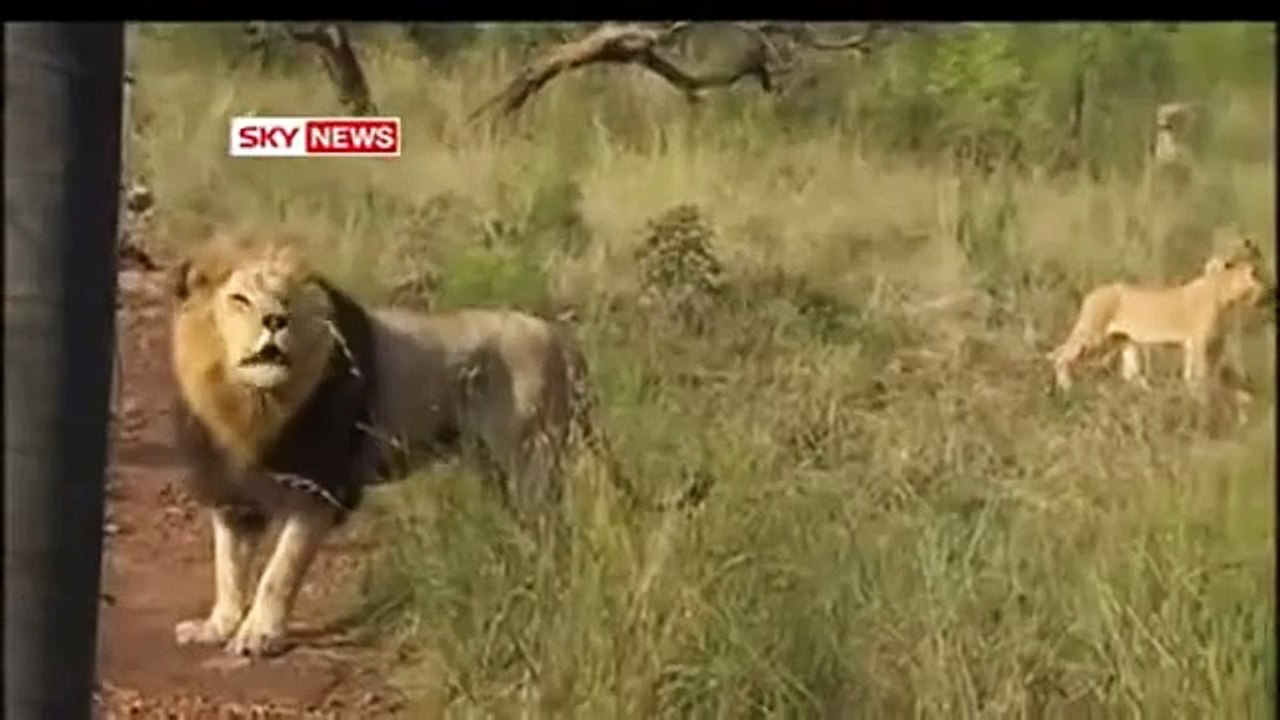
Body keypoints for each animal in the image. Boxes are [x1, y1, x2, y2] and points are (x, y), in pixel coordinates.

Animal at [168, 226, 708, 658]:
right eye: (239, 300)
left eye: (287, 302)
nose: (275, 321)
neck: (250, 403)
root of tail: (561, 337)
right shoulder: (231, 491)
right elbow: (228, 567)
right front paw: (217, 626)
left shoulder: (321, 490)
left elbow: (278, 572)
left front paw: (258, 635)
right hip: (499, 467)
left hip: (531, 459)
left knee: (557, 533)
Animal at [1048, 235, 1270, 395]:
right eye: (1257, 272)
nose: (1269, 291)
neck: (1226, 294)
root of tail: (1092, 293)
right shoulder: (1200, 342)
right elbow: (1201, 375)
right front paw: (1203, 401)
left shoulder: (1212, 343)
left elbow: (1201, 375)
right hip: (1093, 336)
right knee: (1060, 354)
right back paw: (1066, 387)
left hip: (1118, 340)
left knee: (1130, 374)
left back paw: (1147, 392)